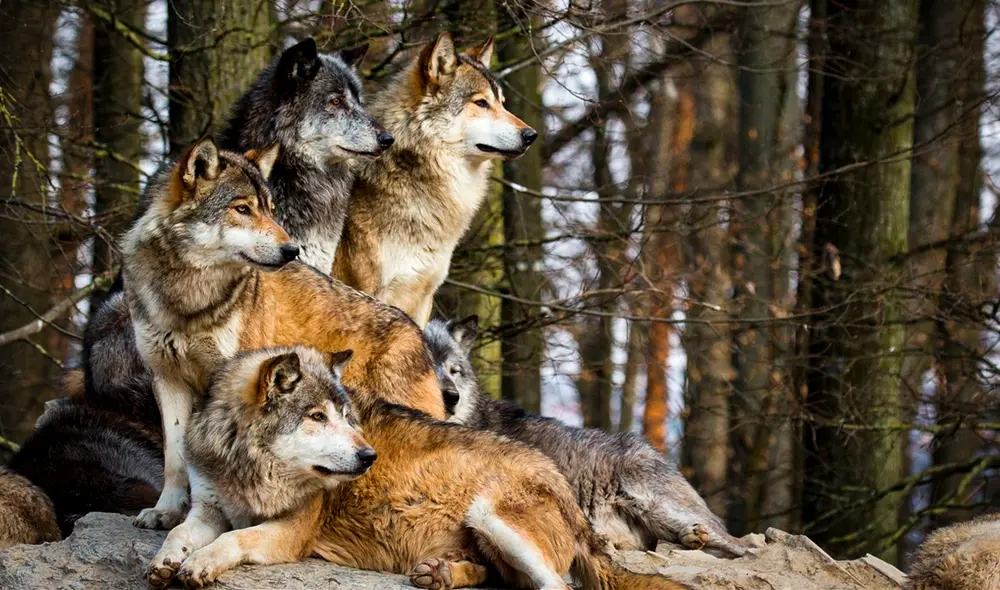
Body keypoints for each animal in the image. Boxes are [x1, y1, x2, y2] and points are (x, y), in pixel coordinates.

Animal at [122, 137, 443, 531]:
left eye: (271, 210)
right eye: (242, 209)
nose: (292, 250)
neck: (189, 300)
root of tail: (417, 331)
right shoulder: (167, 380)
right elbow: (174, 457)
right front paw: (166, 511)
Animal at [148, 346, 686, 590]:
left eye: (347, 417)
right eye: (317, 417)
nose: (368, 457)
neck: (248, 467)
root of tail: (566, 489)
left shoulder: (291, 532)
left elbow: (234, 539)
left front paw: (199, 564)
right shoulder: (208, 507)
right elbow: (180, 533)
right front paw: (167, 561)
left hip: (491, 515)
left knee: (554, 587)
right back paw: (440, 574)